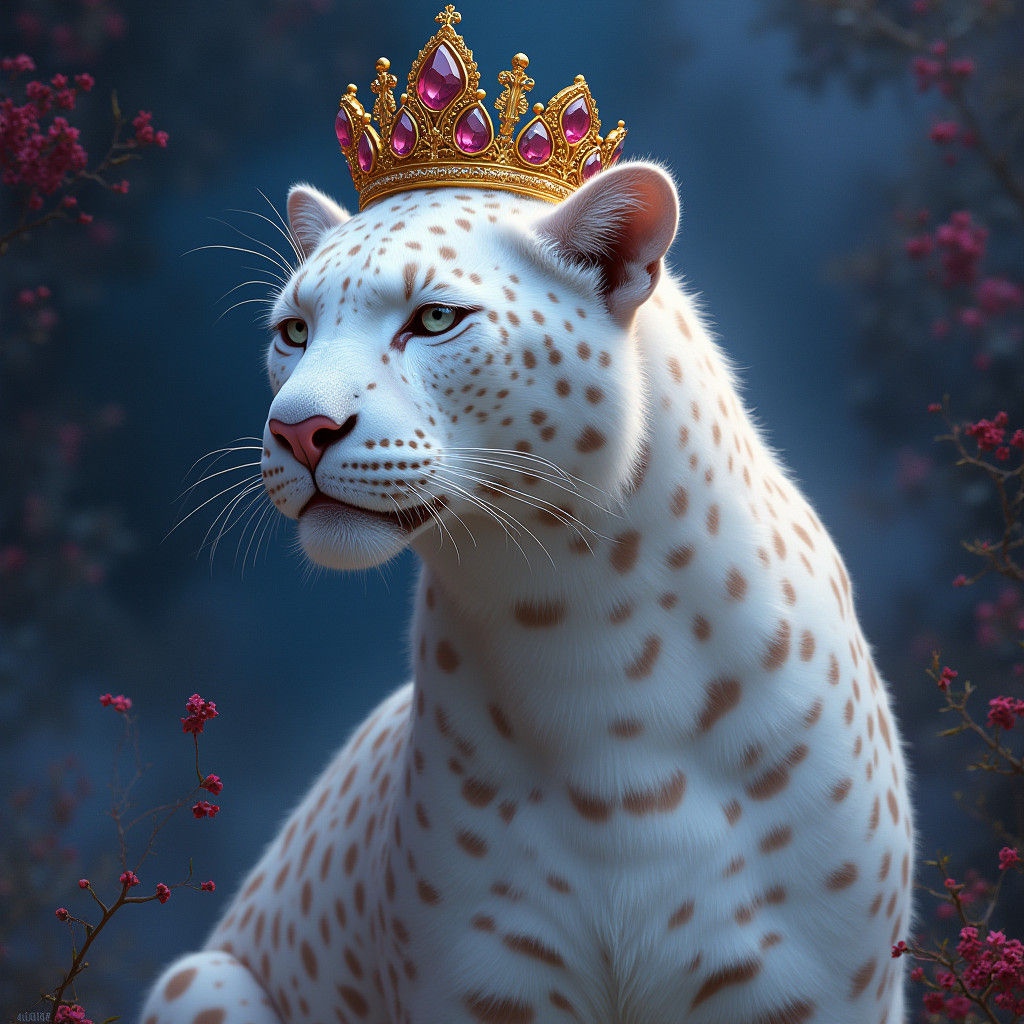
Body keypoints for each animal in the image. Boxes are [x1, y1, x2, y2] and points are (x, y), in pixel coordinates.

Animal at [140, 162, 914, 1024]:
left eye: (434, 319)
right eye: (294, 332)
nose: (298, 429)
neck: (591, 643)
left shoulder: (814, 988)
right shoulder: (480, 985)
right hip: (199, 980)